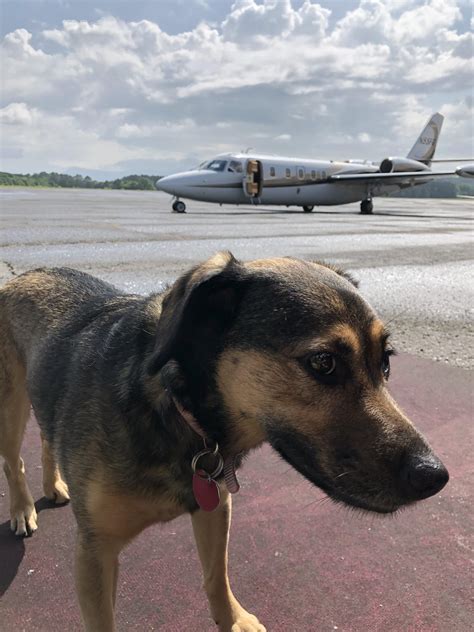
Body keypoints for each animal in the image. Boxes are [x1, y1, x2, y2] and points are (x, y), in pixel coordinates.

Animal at [0, 253, 448, 632]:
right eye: (323, 363)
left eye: (385, 363)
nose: (435, 477)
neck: (176, 408)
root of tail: (26, 273)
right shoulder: (95, 552)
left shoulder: (215, 505)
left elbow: (217, 575)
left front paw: (233, 620)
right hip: (11, 405)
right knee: (13, 460)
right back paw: (22, 509)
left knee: (47, 439)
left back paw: (54, 486)